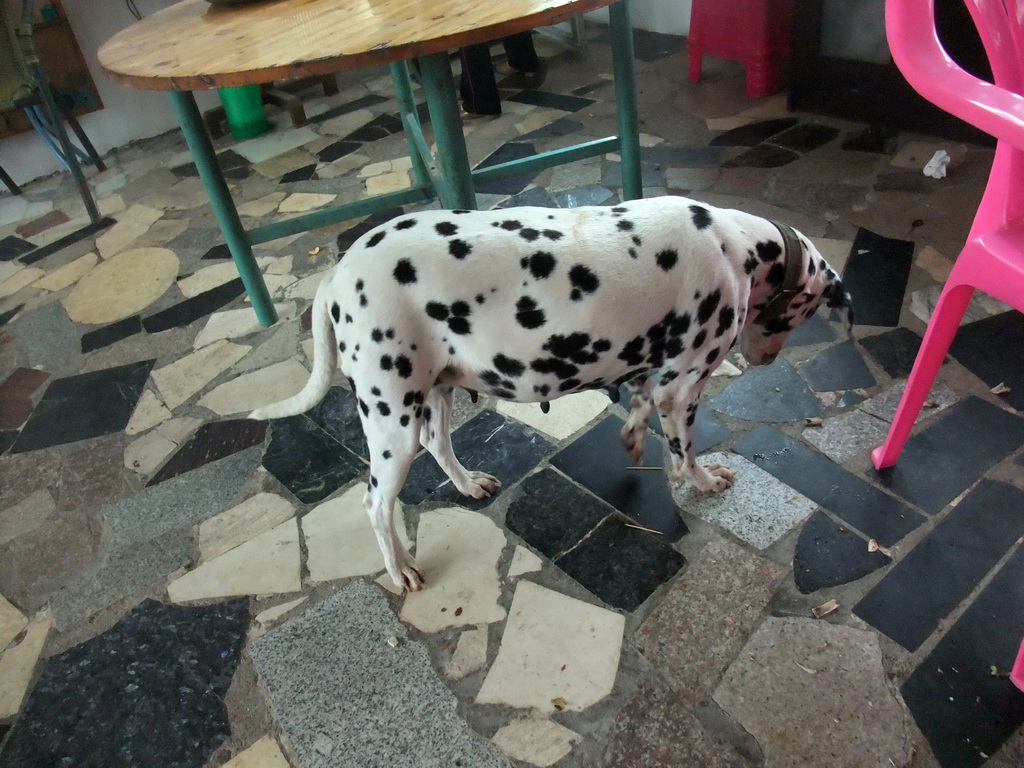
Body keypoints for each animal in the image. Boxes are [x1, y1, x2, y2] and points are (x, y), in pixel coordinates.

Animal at [251, 196, 851, 589]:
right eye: (805, 315)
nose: (767, 360)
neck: (735, 244)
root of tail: (337, 273)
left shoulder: (652, 375)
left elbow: (638, 408)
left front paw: (634, 438)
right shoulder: (683, 388)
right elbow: (684, 454)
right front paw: (703, 481)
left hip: (433, 398)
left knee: (438, 445)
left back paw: (468, 485)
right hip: (391, 423)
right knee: (376, 503)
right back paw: (400, 570)